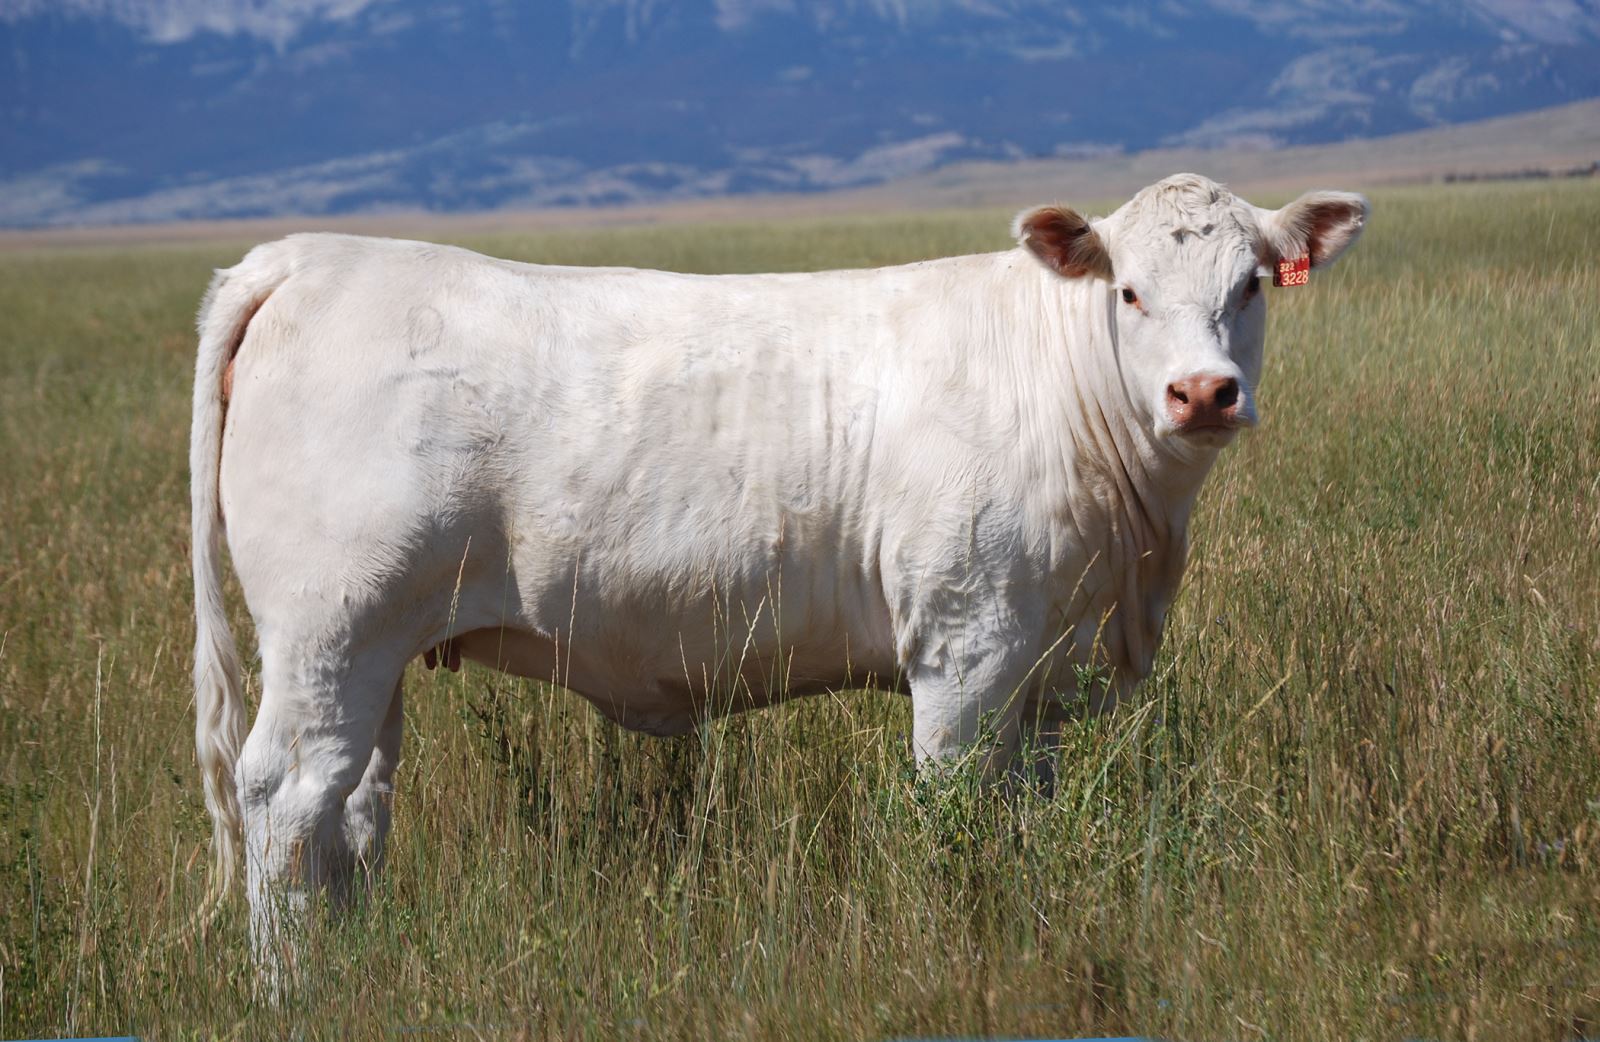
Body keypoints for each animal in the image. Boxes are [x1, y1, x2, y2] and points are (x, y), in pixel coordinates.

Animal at [187, 172, 1363, 960]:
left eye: (1252, 284)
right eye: (1127, 294)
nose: (1201, 393)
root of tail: (305, 256)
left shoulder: (1042, 670)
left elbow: (1026, 816)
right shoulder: (966, 647)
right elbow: (958, 817)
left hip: (378, 651)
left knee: (353, 810)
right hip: (330, 630)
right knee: (287, 798)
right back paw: (295, 985)